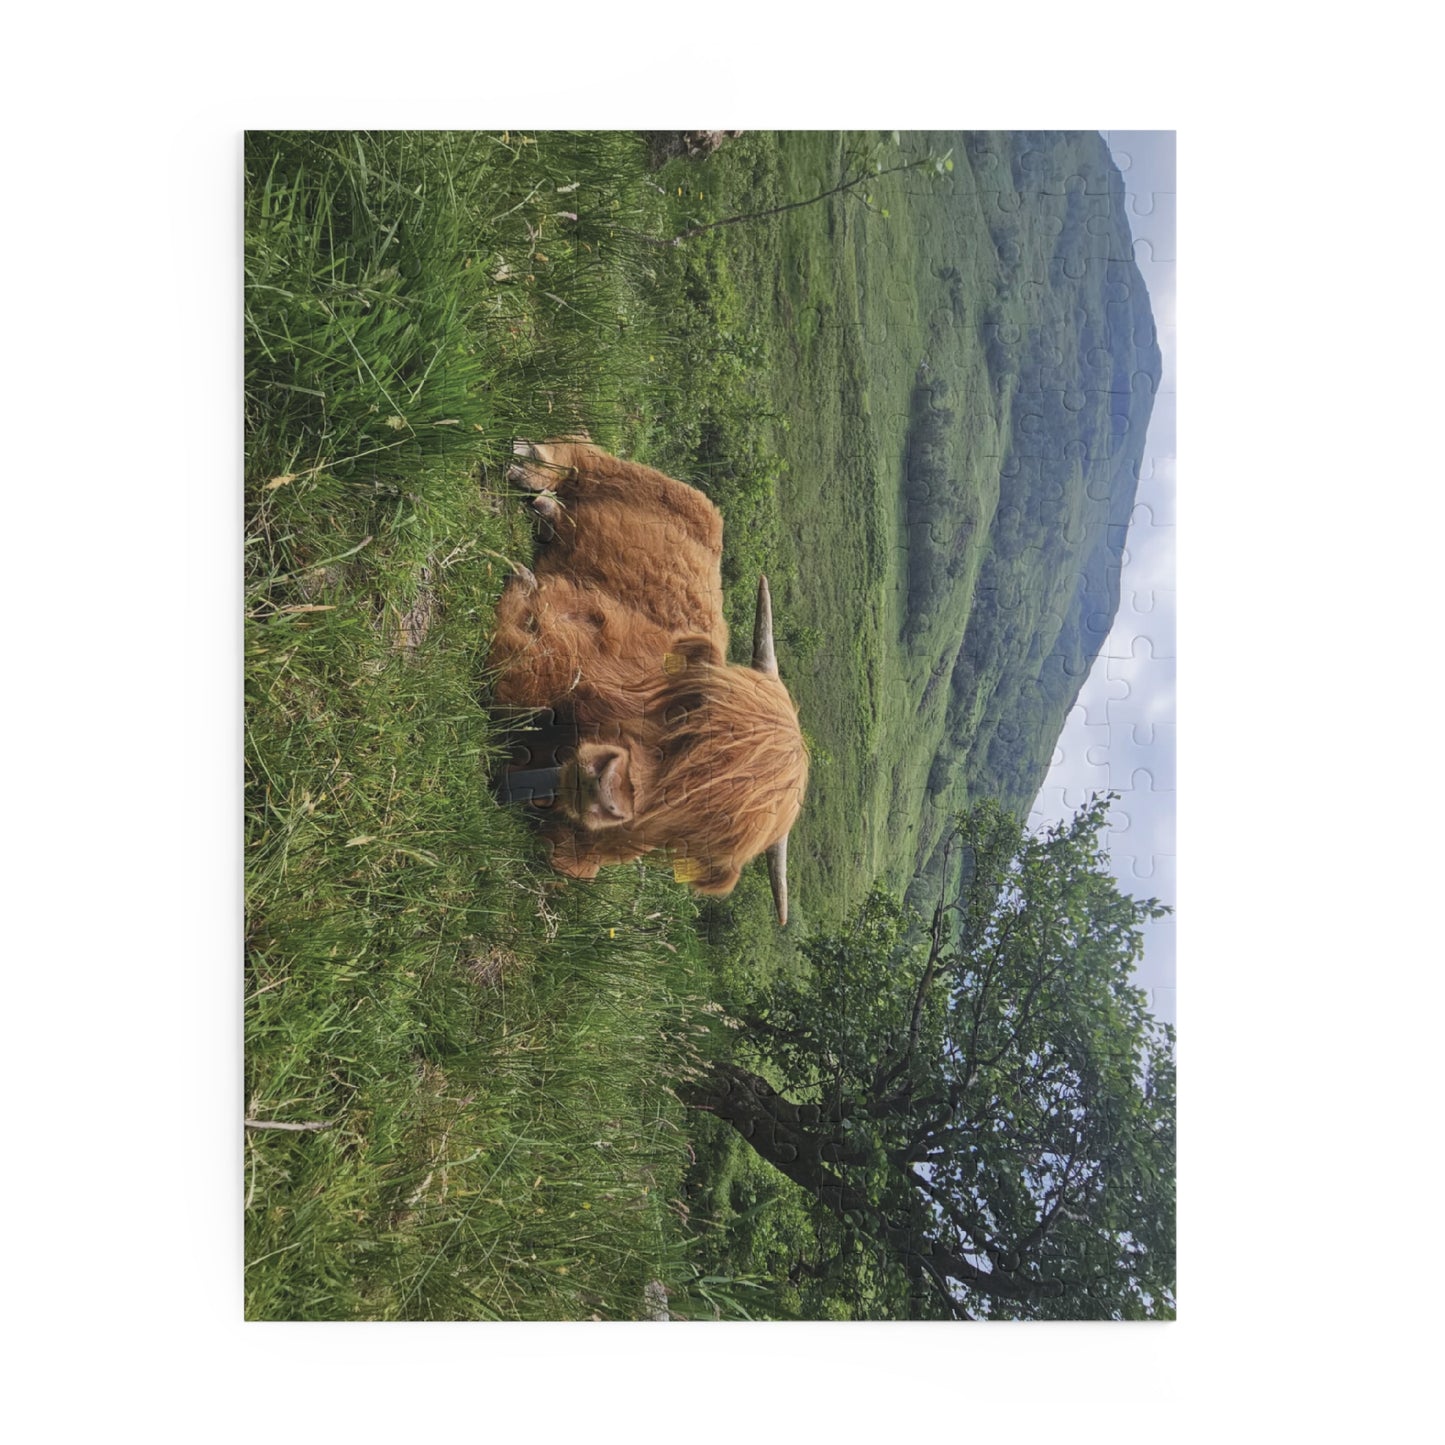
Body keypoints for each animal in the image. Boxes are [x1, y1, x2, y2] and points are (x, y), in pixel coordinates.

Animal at [488, 437, 806, 924]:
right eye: (685, 712)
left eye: (696, 817)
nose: (604, 786)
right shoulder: (576, 632)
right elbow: (527, 662)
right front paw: (521, 589)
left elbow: (566, 862)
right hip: (640, 479)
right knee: (584, 455)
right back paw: (532, 466)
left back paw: (547, 512)